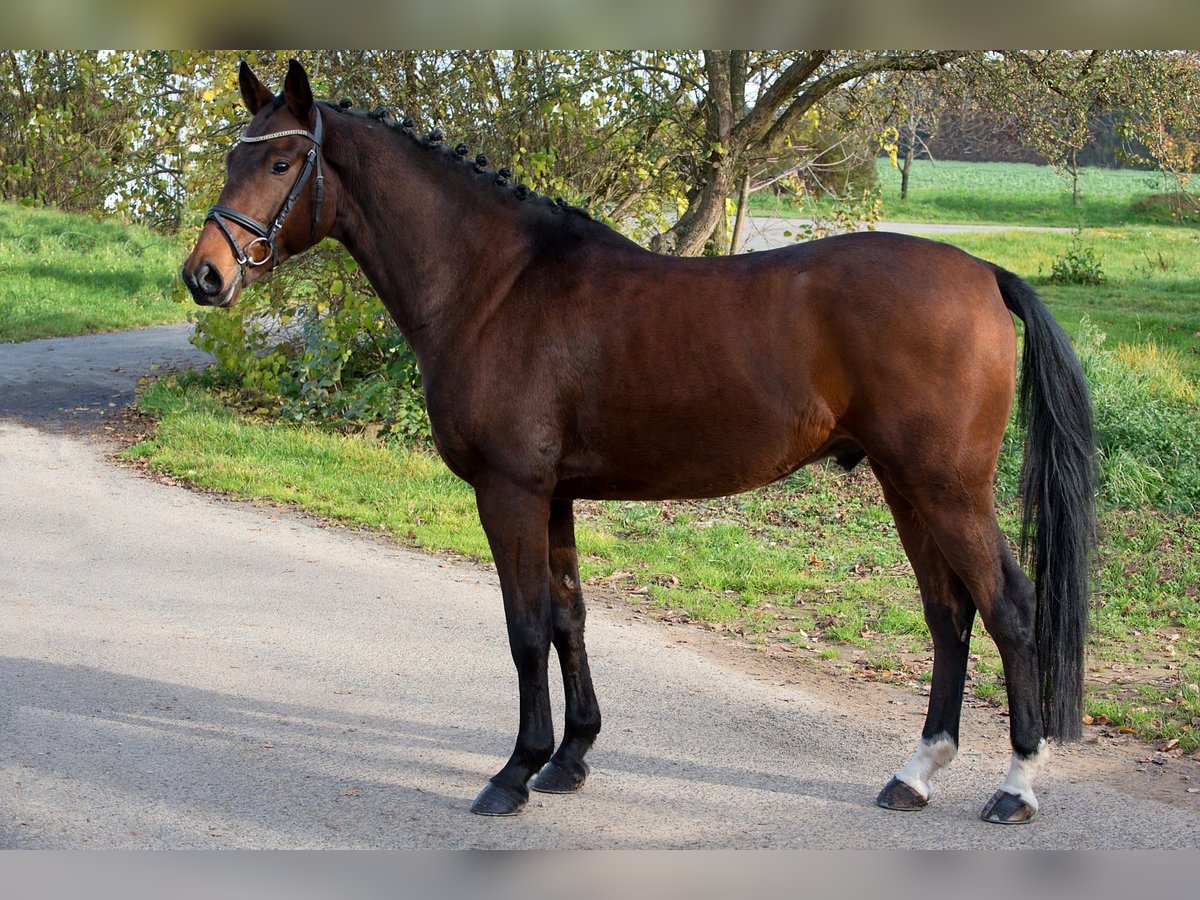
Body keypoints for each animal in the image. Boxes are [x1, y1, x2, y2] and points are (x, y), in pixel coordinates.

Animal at [180, 60, 1099, 830]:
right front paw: (570, 758)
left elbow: (524, 628)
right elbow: (569, 618)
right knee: (949, 616)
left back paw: (1015, 787)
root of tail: (983, 274)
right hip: (906, 486)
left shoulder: (509, 492)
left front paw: (514, 772)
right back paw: (916, 772)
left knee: (1009, 610)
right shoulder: (551, 495)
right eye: (231, 157)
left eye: (280, 163)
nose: (205, 275)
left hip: (947, 488)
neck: (495, 285)